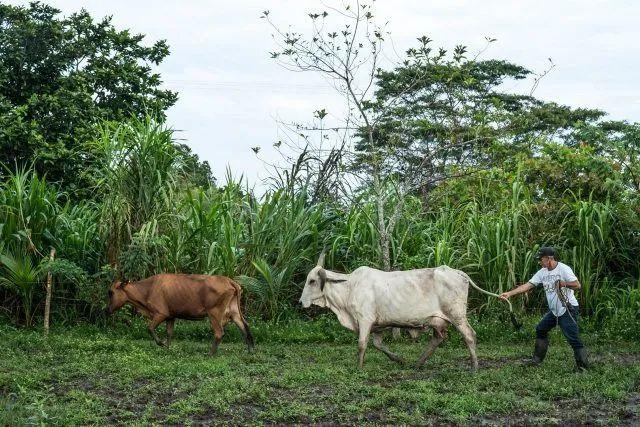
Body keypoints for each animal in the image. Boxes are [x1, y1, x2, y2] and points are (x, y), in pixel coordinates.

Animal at [106, 274, 254, 354]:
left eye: (111, 292)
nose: (107, 310)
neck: (147, 289)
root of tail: (230, 281)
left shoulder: (161, 313)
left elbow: (150, 328)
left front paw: (161, 344)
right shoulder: (171, 316)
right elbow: (169, 333)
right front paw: (167, 348)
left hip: (214, 313)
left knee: (219, 333)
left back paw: (210, 354)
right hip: (234, 312)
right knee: (245, 326)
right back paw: (251, 350)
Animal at [300, 252, 516, 370]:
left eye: (312, 281)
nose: (301, 302)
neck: (349, 287)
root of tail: (457, 272)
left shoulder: (365, 320)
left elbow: (362, 345)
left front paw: (359, 367)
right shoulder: (377, 326)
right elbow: (378, 345)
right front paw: (400, 360)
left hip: (457, 315)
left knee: (469, 336)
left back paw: (474, 367)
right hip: (438, 320)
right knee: (438, 338)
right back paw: (418, 364)